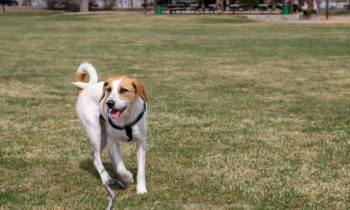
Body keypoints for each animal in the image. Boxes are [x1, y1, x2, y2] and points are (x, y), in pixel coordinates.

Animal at [72, 62, 146, 194]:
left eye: (123, 90)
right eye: (109, 90)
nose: (109, 103)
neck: (125, 118)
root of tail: (84, 90)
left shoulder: (141, 142)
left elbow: (141, 169)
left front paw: (141, 189)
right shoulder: (114, 141)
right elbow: (121, 167)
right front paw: (128, 177)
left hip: (104, 136)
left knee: (99, 154)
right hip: (95, 132)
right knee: (96, 157)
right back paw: (106, 178)